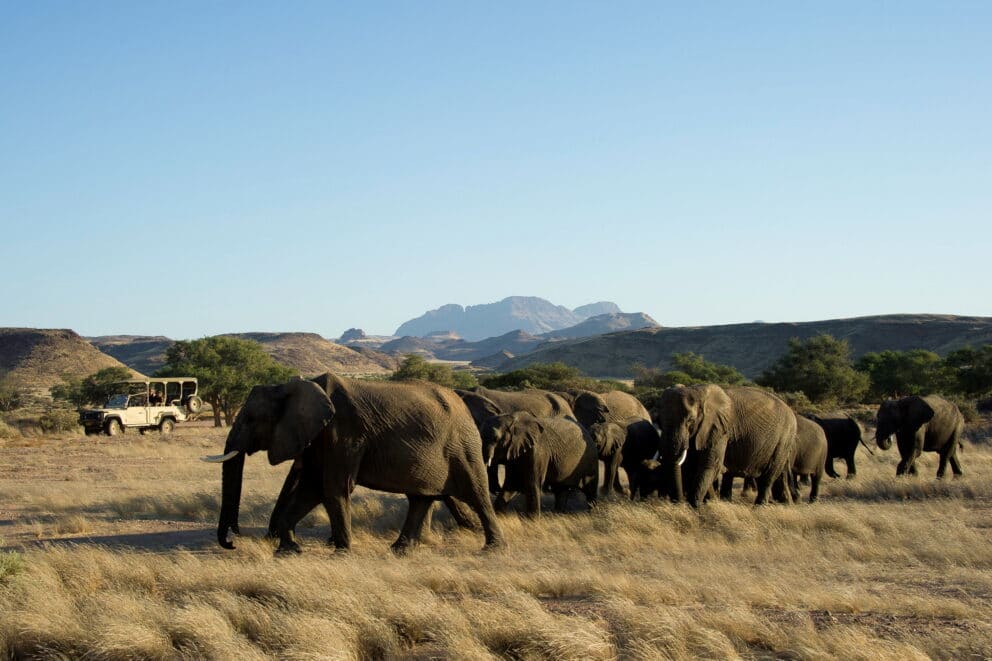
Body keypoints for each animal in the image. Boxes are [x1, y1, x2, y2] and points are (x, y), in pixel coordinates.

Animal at [207, 374, 504, 554]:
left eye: (250, 419)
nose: (232, 541)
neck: (292, 387)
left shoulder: (344, 434)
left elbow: (333, 488)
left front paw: (341, 553)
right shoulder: (321, 438)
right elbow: (312, 489)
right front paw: (288, 551)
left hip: (462, 445)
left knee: (476, 494)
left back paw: (493, 549)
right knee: (420, 498)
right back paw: (399, 551)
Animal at [654, 384, 797, 506]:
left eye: (690, 420)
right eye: (658, 420)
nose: (678, 503)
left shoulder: (719, 430)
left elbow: (710, 466)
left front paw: (695, 507)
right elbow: (693, 467)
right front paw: (709, 503)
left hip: (784, 439)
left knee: (768, 477)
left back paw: (759, 508)